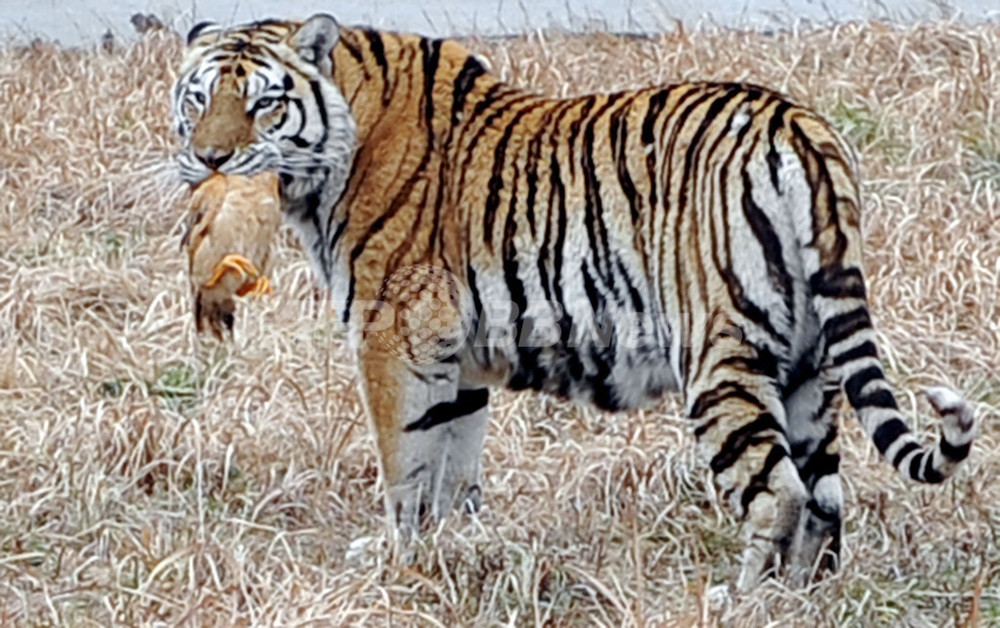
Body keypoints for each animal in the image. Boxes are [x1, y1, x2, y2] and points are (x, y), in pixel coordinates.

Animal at [172, 11, 976, 588]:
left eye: (264, 103)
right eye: (199, 97)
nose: (210, 159)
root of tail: (800, 126)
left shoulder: (392, 338)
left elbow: (406, 464)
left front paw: (397, 559)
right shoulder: (457, 359)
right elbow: (453, 469)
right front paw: (451, 551)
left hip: (720, 356)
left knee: (780, 493)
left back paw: (739, 599)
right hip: (809, 365)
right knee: (826, 498)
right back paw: (802, 597)